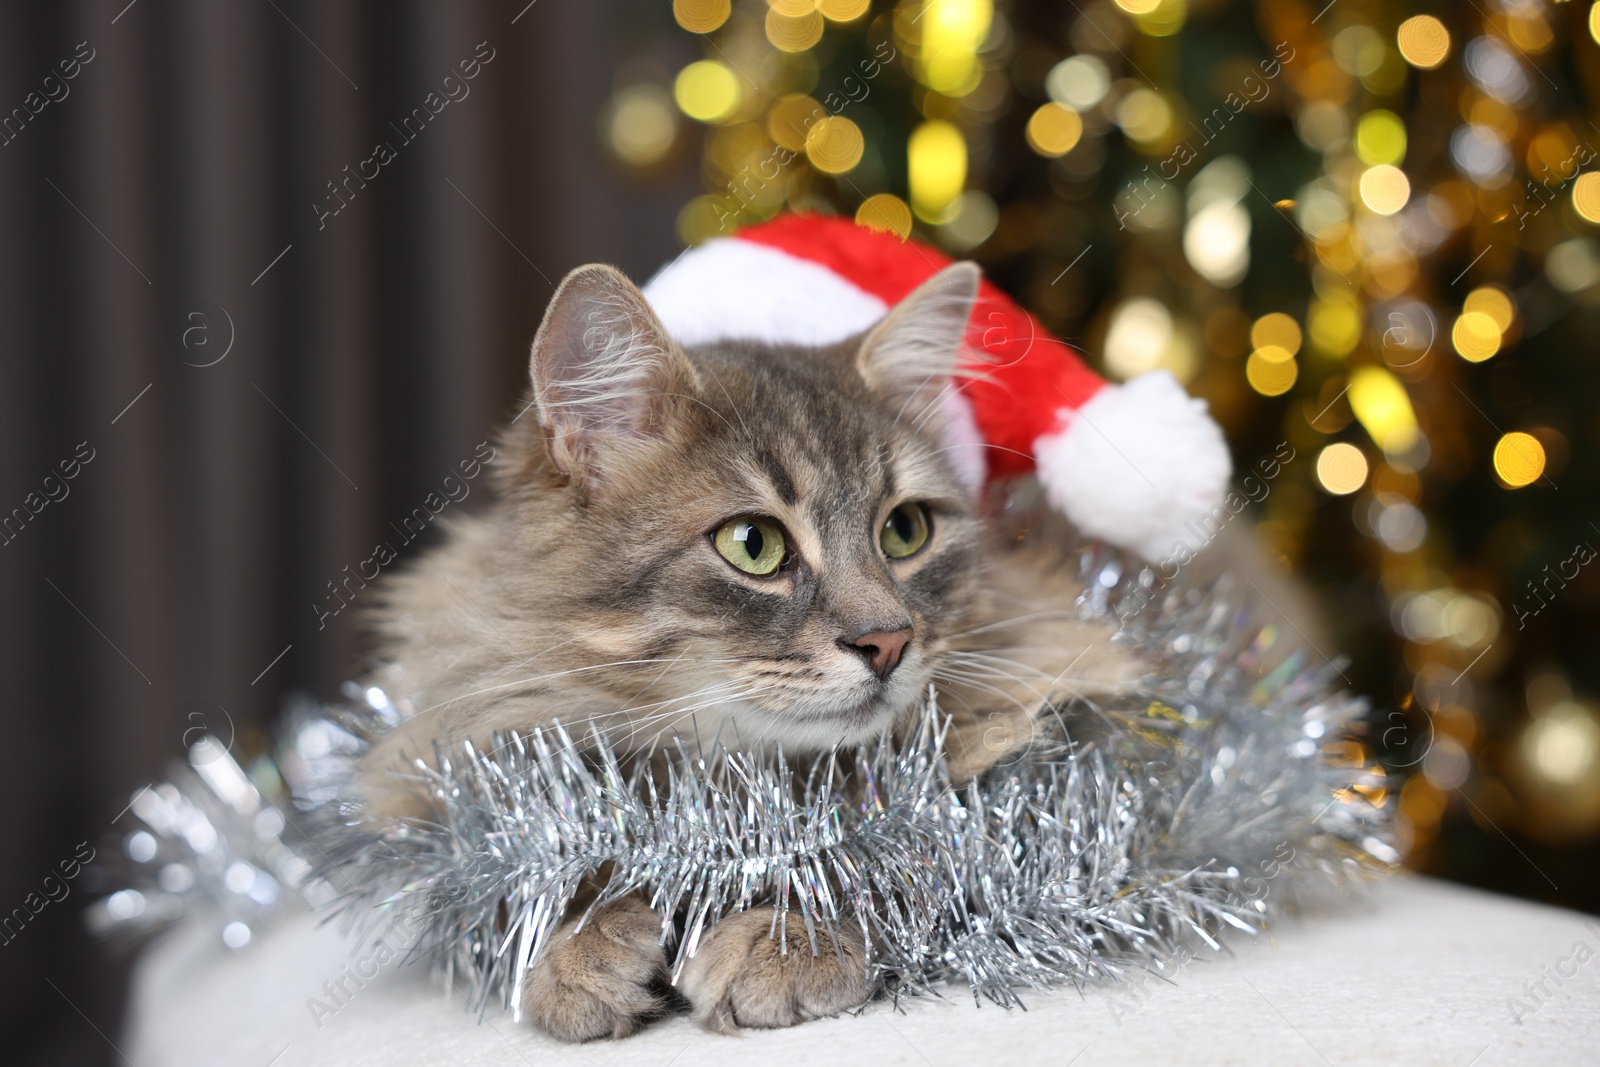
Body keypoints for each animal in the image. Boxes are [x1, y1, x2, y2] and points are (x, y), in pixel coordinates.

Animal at [358, 255, 1145, 1043]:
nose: (889, 640)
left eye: (905, 531)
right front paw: (583, 941)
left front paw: (783, 937)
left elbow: (899, 850)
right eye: (753, 544)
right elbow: (545, 864)